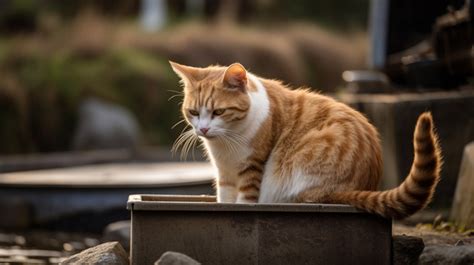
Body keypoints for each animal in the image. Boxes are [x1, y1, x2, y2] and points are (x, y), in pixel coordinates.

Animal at [169, 60, 440, 218]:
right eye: (194, 112)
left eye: (218, 112)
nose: (203, 129)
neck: (226, 143)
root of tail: (359, 186)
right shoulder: (223, 173)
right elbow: (224, 199)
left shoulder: (252, 167)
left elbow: (245, 200)